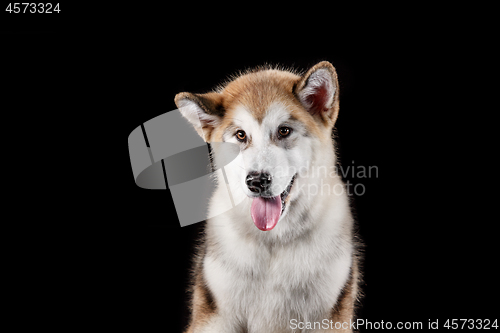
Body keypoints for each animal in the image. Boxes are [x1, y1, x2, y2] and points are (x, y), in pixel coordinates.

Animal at [175, 61, 360, 330]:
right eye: (241, 135)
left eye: (284, 131)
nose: (256, 181)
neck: (274, 241)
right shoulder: (215, 317)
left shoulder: (328, 319)